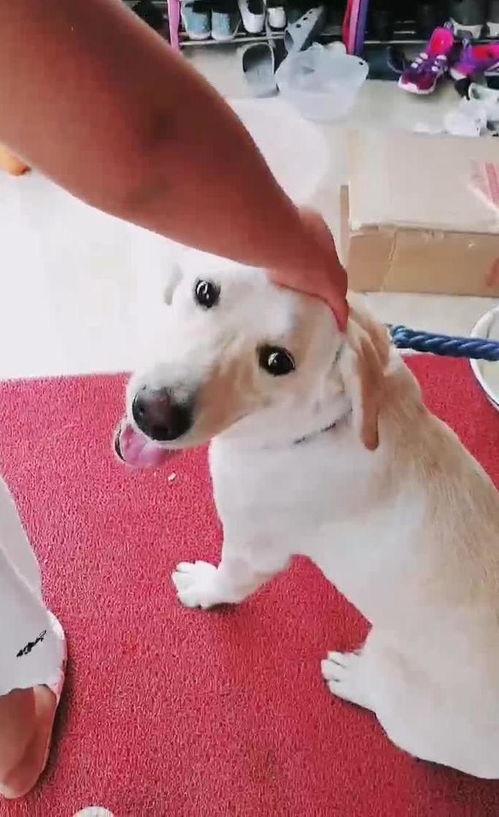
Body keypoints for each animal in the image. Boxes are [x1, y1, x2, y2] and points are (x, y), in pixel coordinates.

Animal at [115, 260, 499, 778]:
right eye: (205, 291)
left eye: (279, 361)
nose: (154, 414)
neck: (318, 424)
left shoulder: (253, 549)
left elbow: (227, 582)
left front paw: (202, 588)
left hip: (400, 685)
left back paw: (353, 678)